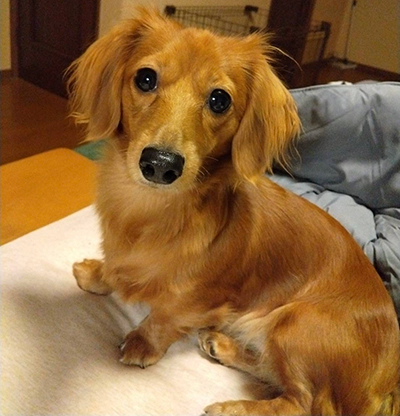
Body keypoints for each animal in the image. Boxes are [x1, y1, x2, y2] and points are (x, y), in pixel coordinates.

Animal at [68, 8, 399, 415]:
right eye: (145, 78)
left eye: (219, 100)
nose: (160, 164)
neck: (148, 210)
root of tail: (389, 383)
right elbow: (117, 268)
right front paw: (98, 274)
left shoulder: (198, 300)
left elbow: (164, 317)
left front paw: (142, 342)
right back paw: (224, 346)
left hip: (296, 321)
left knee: (302, 403)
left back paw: (234, 407)